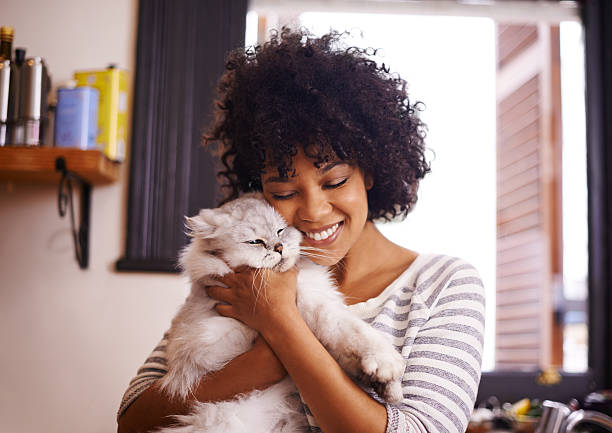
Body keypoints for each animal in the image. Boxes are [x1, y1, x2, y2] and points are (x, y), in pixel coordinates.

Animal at [157, 193, 406, 432]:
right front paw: (386, 368)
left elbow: (350, 344)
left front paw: (387, 386)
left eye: (280, 230)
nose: (279, 248)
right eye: (255, 242)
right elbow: (351, 333)